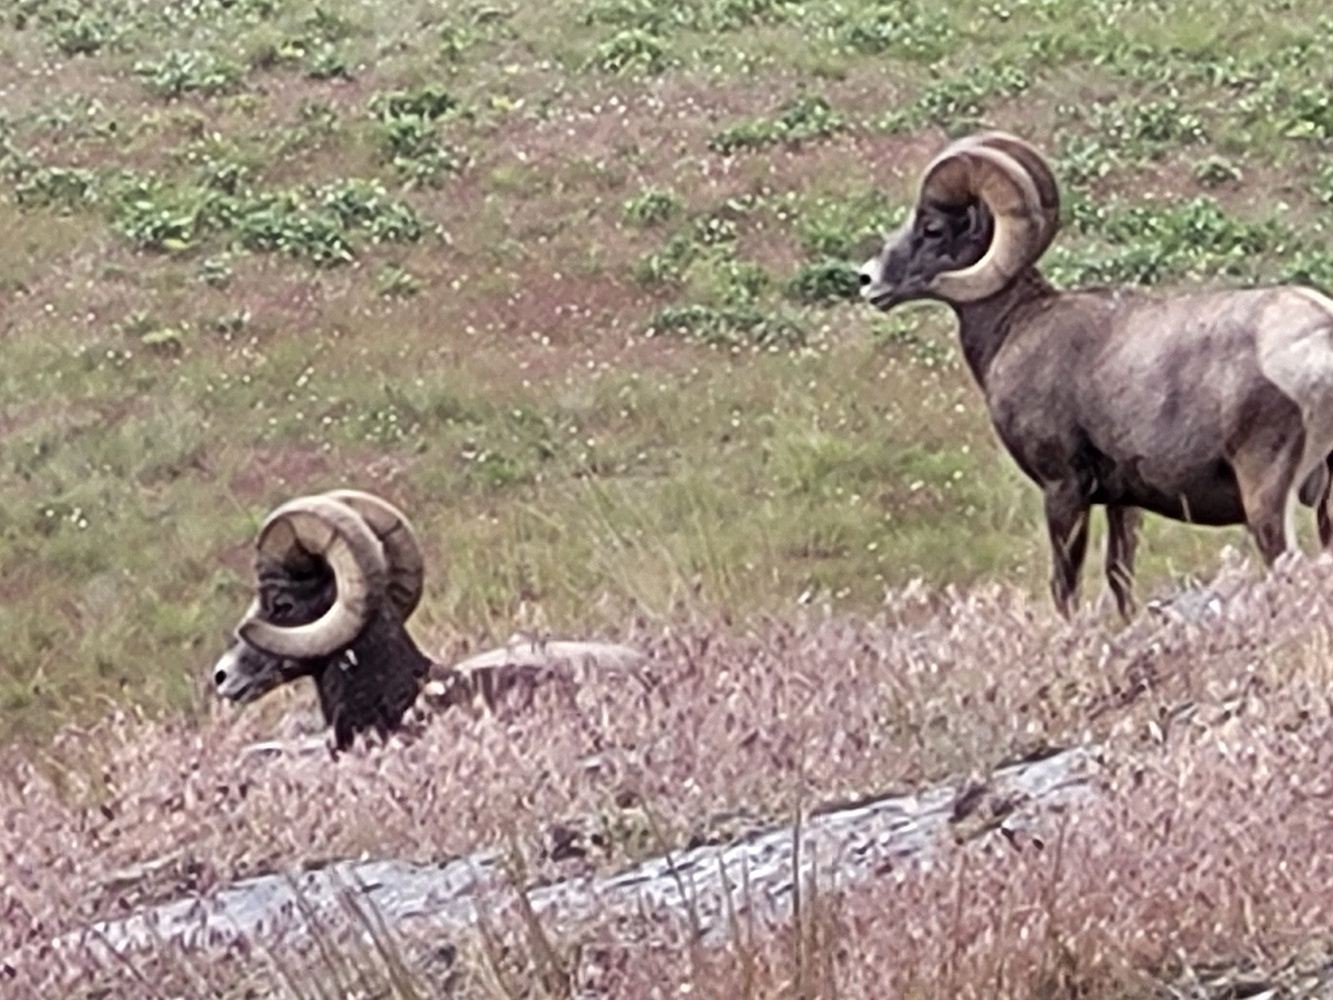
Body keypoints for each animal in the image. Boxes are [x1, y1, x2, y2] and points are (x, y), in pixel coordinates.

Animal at [858, 130, 1333, 619]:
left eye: (933, 227)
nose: (867, 281)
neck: (1017, 324)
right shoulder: (1125, 503)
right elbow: (1119, 578)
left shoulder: (1064, 489)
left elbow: (1065, 588)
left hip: (1267, 499)